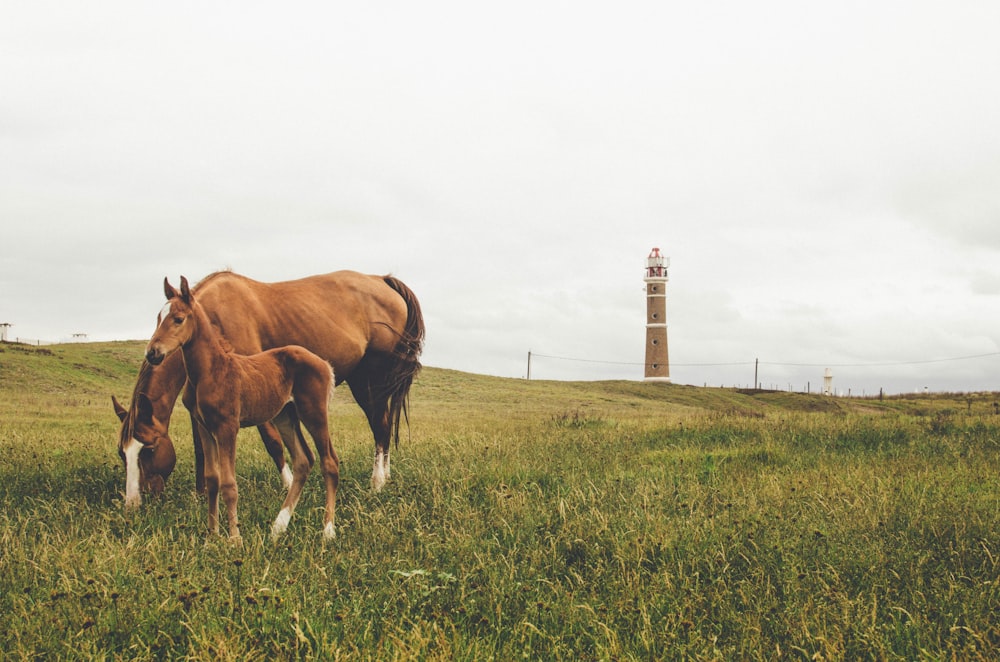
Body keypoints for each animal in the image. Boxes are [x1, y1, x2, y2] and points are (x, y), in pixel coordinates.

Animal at [114, 270, 426, 508]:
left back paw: (377, 483)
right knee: (384, 426)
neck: (214, 317)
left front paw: (288, 485)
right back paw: (386, 475)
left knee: (380, 426)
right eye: (122, 453)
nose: (132, 502)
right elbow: (201, 449)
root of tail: (382, 280)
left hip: (370, 379)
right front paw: (201, 493)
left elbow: (272, 442)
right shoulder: (201, 406)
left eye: (149, 449)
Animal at [145, 278, 340, 544]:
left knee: (329, 462)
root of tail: (324, 364)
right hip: (285, 416)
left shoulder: (228, 427)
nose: (152, 353)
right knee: (303, 461)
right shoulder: (205, 428)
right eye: (158, 317)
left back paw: (327, 531)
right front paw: (212, 536)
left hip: (314, 412)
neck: (210, 371)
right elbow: (212, 479)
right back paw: (278, 528)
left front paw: (235, 539)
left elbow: (229, 484)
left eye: (178, 319)